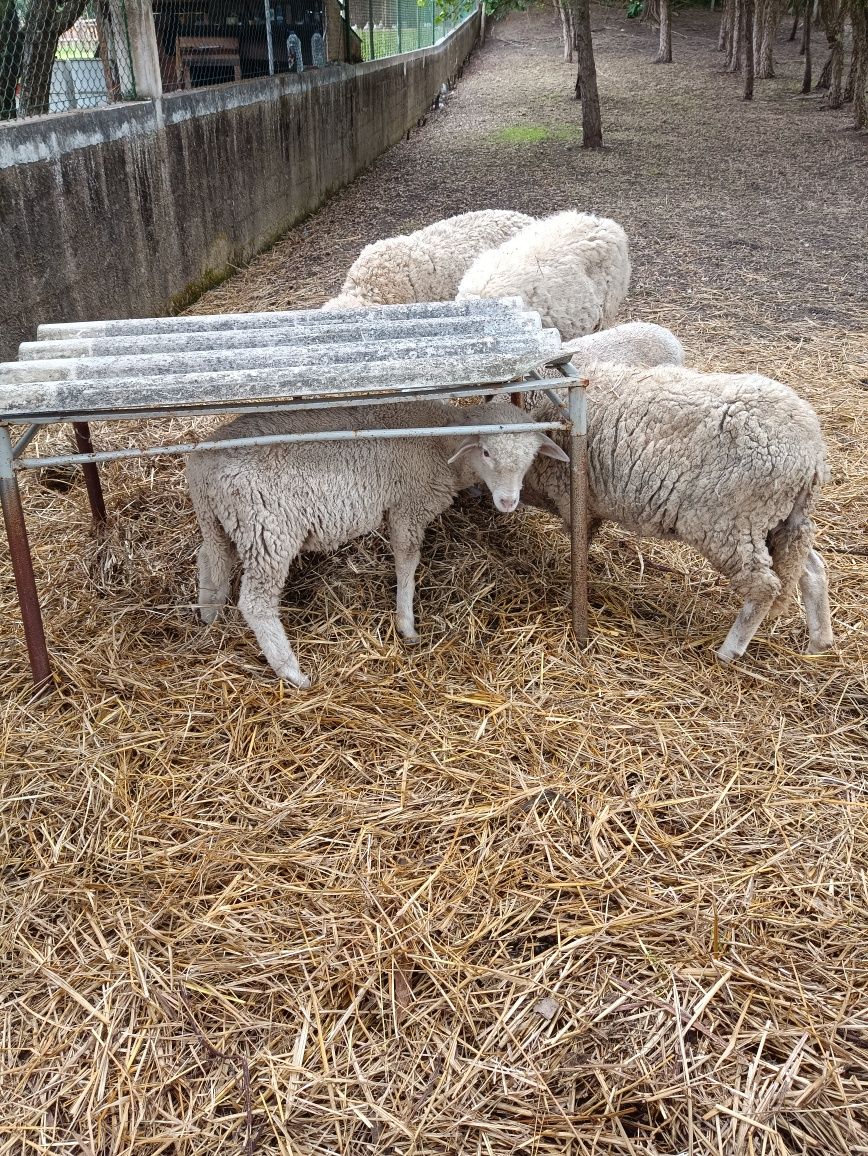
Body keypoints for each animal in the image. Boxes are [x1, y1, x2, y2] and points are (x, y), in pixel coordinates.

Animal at [184, 397, 570, 684]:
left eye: (531, 456)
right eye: (487, 452)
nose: (507, 502)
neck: (441, 440)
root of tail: (203, 463)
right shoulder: (408, 507)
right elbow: (407, 562)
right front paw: (407, 625)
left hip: (220, 522)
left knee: (210, 558)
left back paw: (209, 616)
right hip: (269, 531)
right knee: (256, 601)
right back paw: (291, 671)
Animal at [522, 365, 836, 665]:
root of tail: (811, 455)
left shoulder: (573, 498)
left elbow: (579, 549)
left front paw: (570, 595)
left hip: (730, 523)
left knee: (764, 586)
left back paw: (728, 653)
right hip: (778, 522)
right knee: (810, 568)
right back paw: (819, 643)